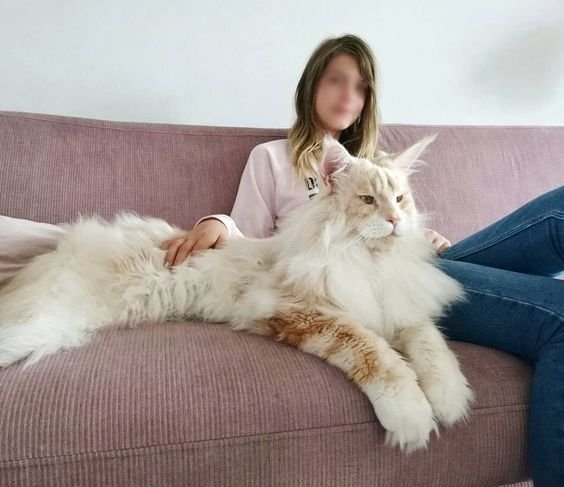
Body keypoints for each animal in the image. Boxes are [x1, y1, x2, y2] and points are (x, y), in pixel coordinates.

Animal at [0, 134, 474, 454]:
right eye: (368, 200)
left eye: (401, 199)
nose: (395, 221)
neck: (370, 264)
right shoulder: (301, 311)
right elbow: (377, 356)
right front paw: (412, 418)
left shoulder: (402, 309)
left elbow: (431, 347)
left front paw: (451, 399)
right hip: (44, 319)